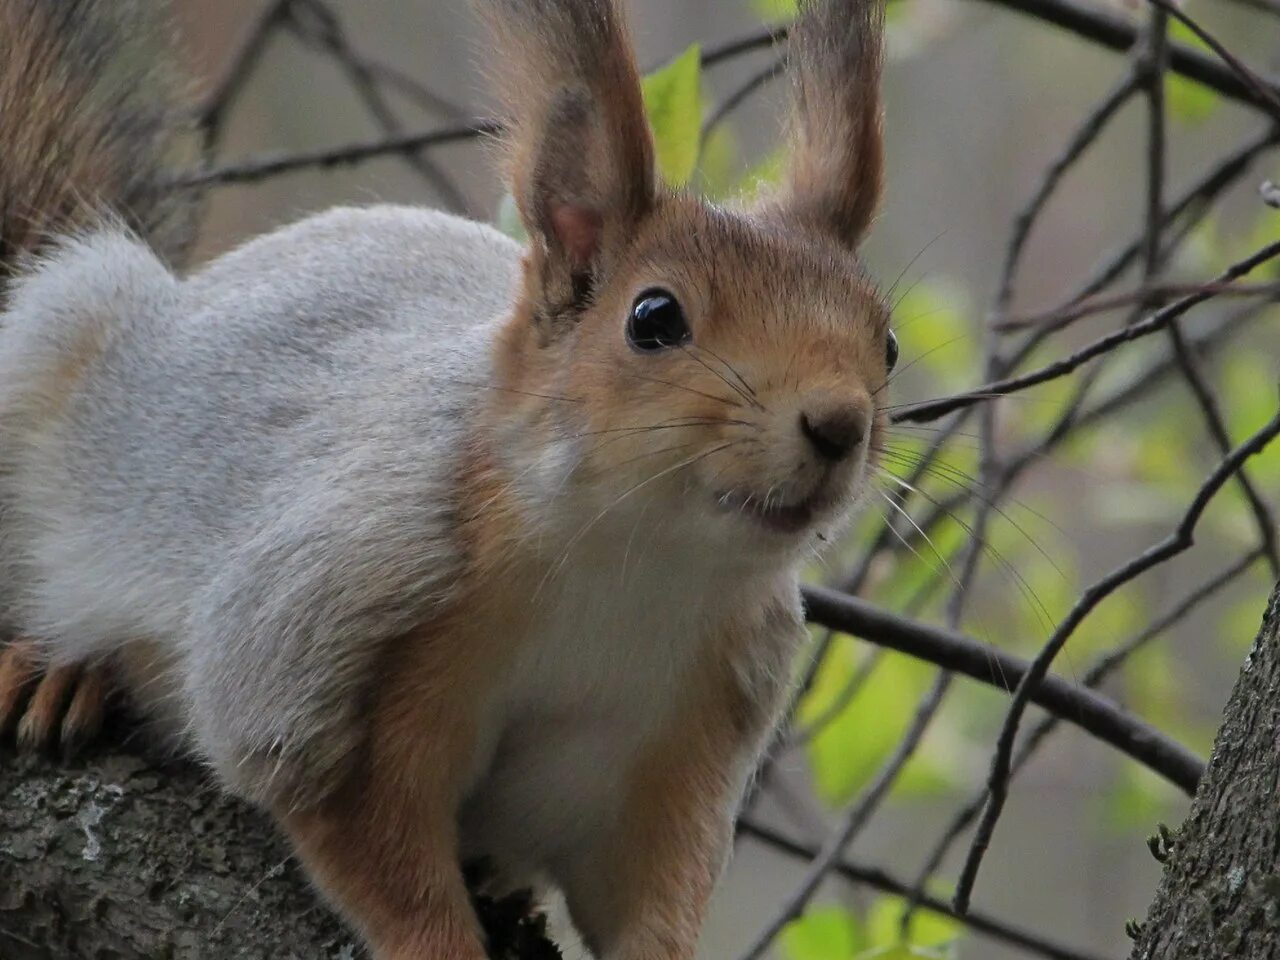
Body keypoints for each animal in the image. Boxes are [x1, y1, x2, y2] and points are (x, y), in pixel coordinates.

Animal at [0, 1, 890, 960]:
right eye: (654, 318)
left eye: (886, 342)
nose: (839, 423)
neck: (633, 565)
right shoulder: (332, 644)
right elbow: (367, 840)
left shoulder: (678, 744)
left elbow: (654, 891)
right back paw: (57, 672)